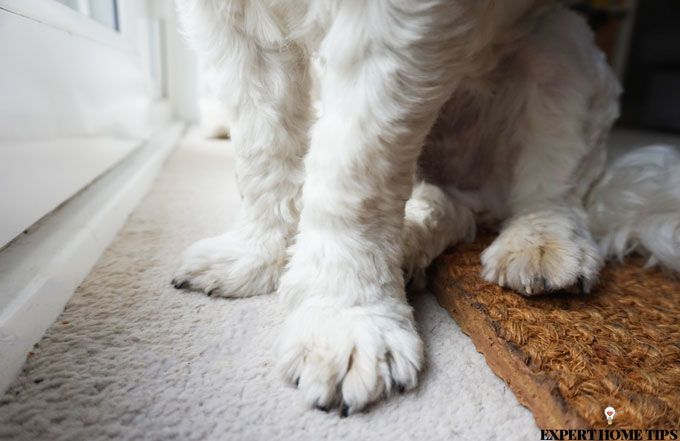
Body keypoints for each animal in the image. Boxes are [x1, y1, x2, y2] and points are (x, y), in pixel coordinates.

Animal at [173, 0, 680, 414]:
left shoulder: (392, 24)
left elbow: (352, 174)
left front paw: (346, 316)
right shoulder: (233, 21)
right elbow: (263, 147)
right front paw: (259, 254)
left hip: (560, 42)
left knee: (552, 193)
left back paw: (539, 241)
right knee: (450, 208)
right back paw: (409, 246)